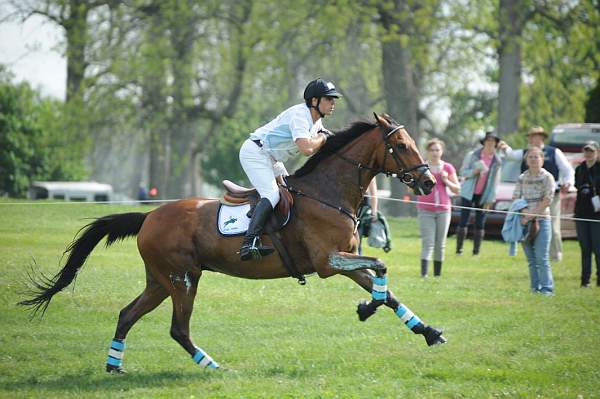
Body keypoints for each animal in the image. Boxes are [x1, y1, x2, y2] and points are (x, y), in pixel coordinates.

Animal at [19, 111, 446, 372]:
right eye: (402, 145)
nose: (428, 182)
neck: (328, 193)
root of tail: (150, 216)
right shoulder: (329, 262)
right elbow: (381, 268)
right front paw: (367, 308)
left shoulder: (344, 259)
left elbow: (387, 292)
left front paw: (424, 330)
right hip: (182, 279)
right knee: (178, 329)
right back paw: (212, 365)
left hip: (160, 280)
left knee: (127, 314)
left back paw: (114, 364)